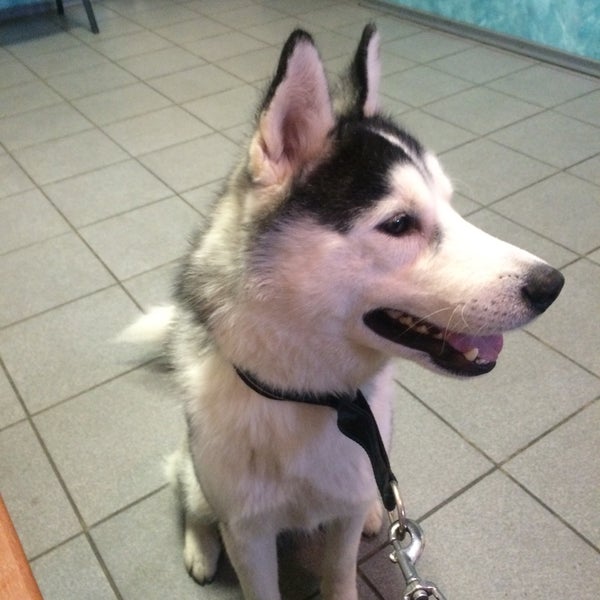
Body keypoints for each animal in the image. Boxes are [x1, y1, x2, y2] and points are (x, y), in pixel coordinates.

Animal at [123, 25, 564, 600]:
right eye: (399, 224)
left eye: (450, 204)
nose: (552, 285)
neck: (311, 396)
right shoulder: (248, 532)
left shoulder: (346, 508)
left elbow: (339, 571)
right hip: (198, 476)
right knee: (191, 498)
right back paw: (200, 547)